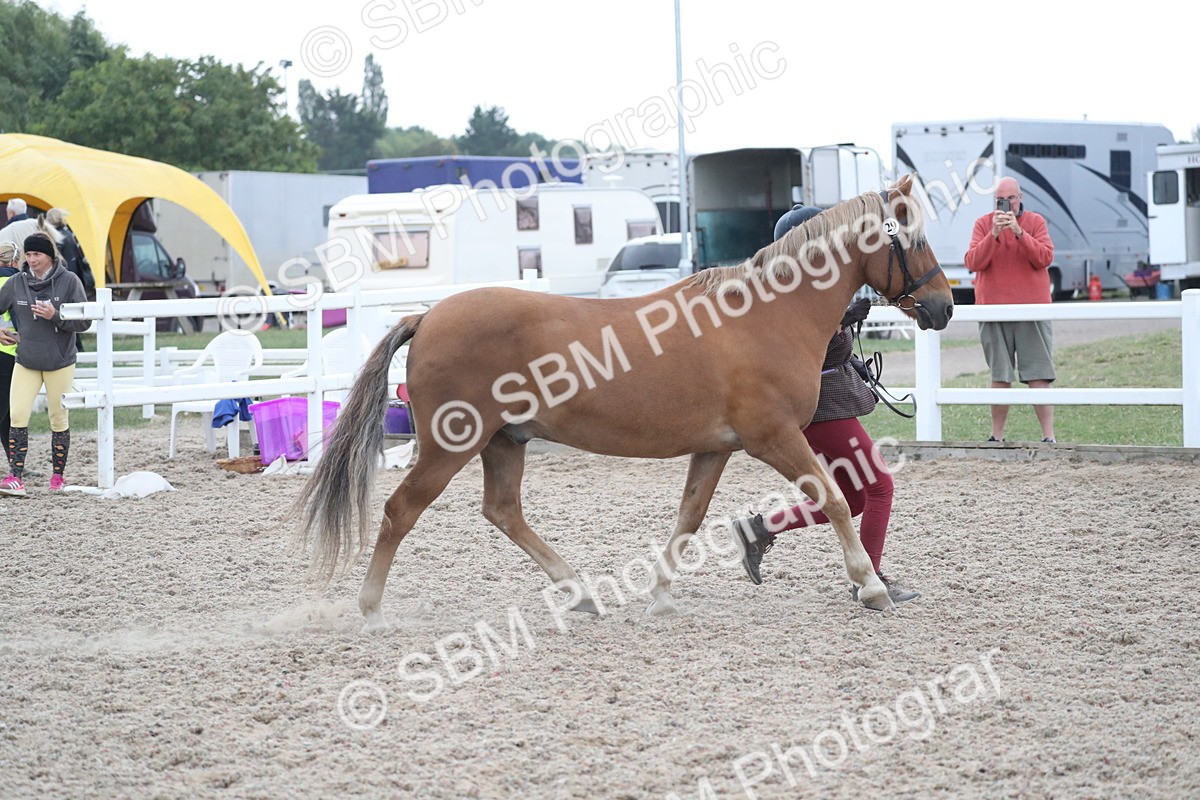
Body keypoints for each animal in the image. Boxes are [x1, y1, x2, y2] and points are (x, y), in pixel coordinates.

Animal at [293, 175, 953, 632]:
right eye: (914, 238)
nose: (944, 307)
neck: (765, 315)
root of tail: (427, 315)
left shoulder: (716, 449)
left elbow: (688, 518)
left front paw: (660, 596)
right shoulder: (776, 439)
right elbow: (837, 500)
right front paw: (871, 588)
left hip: (505, 441)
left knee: (503, 511)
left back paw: (581, 593)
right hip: (449, 446)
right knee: (400, 511)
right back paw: (372, 611)